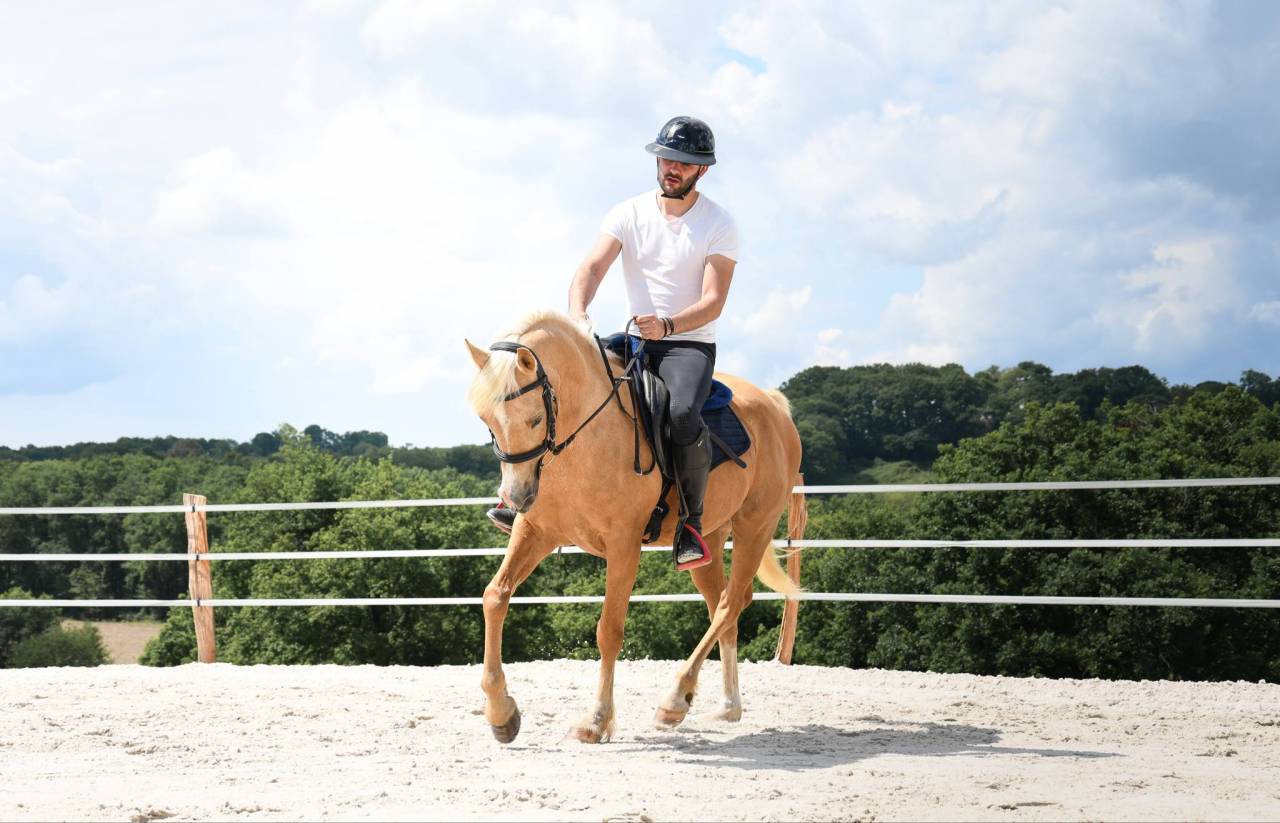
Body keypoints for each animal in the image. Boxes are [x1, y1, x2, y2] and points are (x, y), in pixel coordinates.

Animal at [464, 309, 804, 743]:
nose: (516, 498)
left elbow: (609, 629)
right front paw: (501, 713)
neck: (586, 438)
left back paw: (674, 700)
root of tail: (774, 405)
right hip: (709, 541)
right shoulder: (534, 533)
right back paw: (726, 707)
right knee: (723, 608)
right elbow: (495, 597)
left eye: (535, 419)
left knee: (730, 604)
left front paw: (595, 721)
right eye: (487, 421)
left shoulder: (623, 545)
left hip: (754, 527)